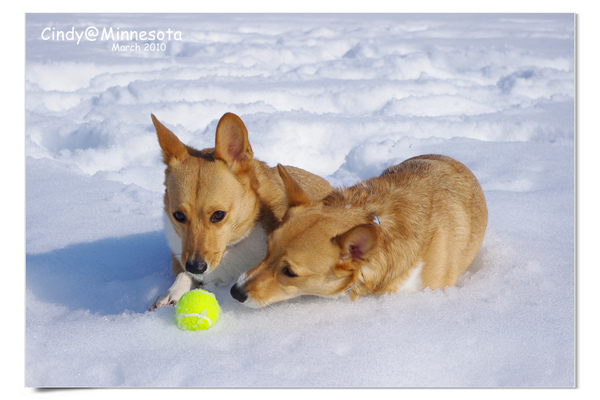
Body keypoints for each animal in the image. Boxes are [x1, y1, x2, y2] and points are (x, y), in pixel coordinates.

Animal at [148, 112, 330, 310]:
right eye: (178, 216)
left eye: (218, 215)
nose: (196, 267)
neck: (232, 245)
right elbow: (183, 274)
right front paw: (172, 292)